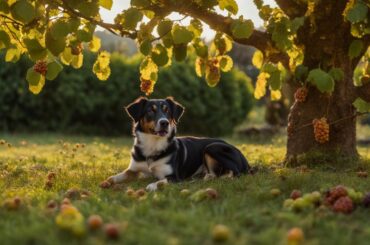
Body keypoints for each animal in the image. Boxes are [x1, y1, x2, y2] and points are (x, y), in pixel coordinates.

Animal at [102, 96, 250, 191]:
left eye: (167, 110)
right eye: (150, 110)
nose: (164, 123)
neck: (153, 145)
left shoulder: (174, 176)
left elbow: (160, 181)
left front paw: (152, 185)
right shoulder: (133, 170)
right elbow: (115, 177)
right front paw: (106, 182)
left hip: (212, 147)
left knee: (235, 173)